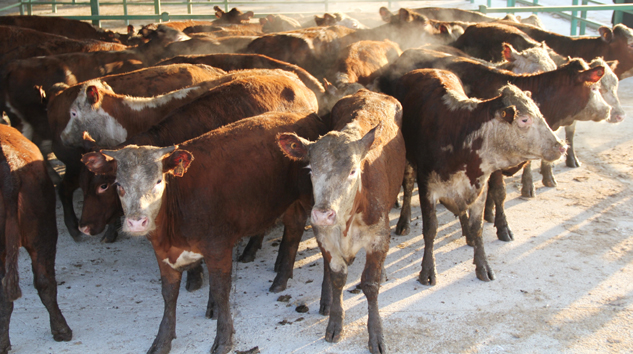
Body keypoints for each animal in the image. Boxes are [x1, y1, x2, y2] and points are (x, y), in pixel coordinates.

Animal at [81, 112, 328, 354]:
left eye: (159, 181)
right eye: (118, 185)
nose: (136, 222)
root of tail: (304, 115)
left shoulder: (218, 247)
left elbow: (221, 289)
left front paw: (223, 338)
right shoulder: (163, 254)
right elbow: (169, 295)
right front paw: (162, 340)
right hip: (290, 202)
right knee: (294, 229)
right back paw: (281, 279)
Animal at [276, 89, 404, 354]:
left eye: (353, 171)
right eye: (311, 170)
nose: (323, 214)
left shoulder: (378, 236)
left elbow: (370, 284)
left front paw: (376, 334)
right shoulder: (324, 236)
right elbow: (337, 277)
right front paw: (335, 322)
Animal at [392, 68, 564, 284]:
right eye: (524, 119)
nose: (561, 146)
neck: (461, 136)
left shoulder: (479, 187)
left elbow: (478, 227)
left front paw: (483, 265)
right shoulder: (427, 187)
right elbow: (430, 229)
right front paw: (427, 270)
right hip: (408, 160)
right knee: (407, 188)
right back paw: (404, 221)